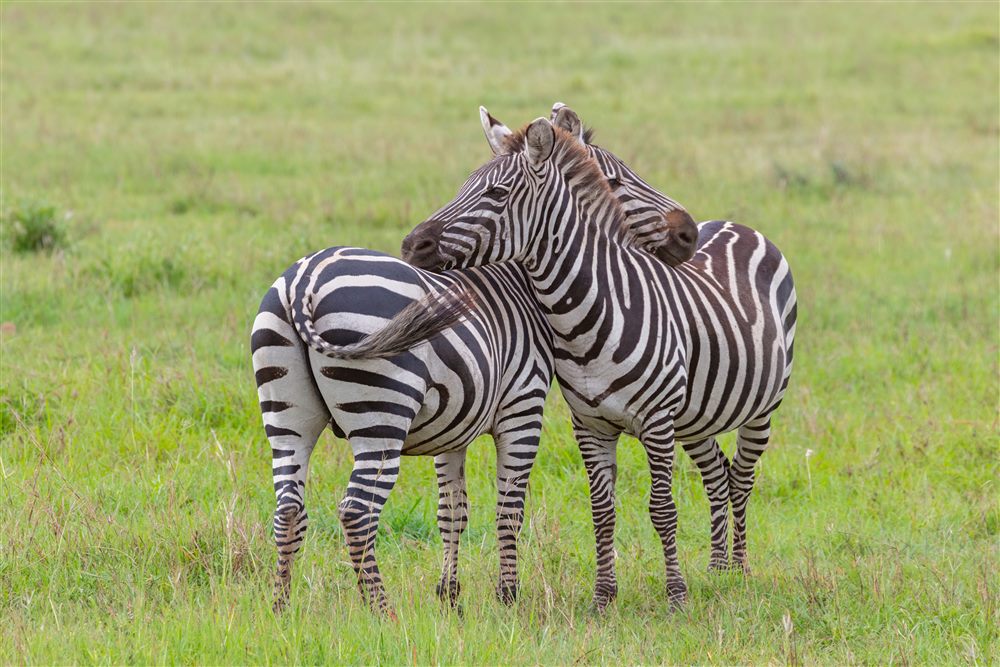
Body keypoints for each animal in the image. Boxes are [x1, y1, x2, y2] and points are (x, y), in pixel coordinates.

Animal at [251, 157, 704, 614]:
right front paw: (508, 597)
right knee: (356, 512)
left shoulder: (452, 427)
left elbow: (452, 511)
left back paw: (281, 606)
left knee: (288, 508)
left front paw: (450, 597)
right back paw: (382, 611)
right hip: (380, 417)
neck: (524, 286)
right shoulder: (522, 409)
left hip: (286, 417)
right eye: (613, 181)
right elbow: (509, 508)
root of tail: (305, 279)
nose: (690, 234)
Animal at [400, 111, 797, 610]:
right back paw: (718, 569)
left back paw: (740, 571)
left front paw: (676, 596)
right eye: (462, 188)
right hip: (696, 418)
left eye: (496, 194)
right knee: (717, 476)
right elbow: (602, 511)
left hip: (761, 408)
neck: (585, 316)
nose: (411, 246)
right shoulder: (590, 426)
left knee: (742, 478)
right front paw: (604, 597)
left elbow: (662, 509)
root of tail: (733, 224)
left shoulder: (656, 422)